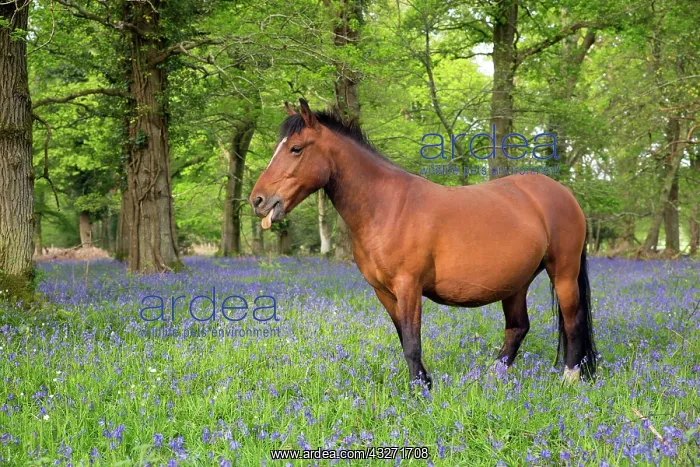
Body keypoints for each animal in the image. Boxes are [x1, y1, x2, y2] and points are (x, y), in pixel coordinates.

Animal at [250, 98, 596, 389]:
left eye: (296, 149)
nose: (258, 200)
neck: (386, 206)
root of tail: (563, 194)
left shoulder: (409, 286)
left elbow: (413, 344)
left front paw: (420, 391)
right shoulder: (384, 292)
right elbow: (405, 340)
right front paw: (424, 383)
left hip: (563, 273)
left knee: (573, 321)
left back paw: (570, 379)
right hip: (516, 283)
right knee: (518, 327)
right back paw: (490, 378)